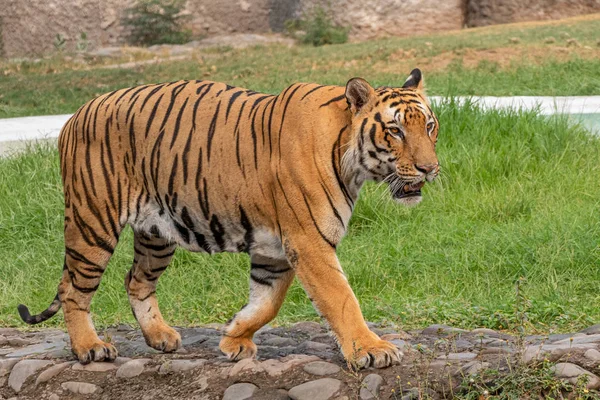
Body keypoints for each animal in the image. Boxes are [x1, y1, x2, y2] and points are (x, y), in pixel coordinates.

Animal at [18, 68, 438, 368]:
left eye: (430, 126)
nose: (429, 168)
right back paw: (89, 348)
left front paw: (234, 339)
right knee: (74, 289)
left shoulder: (275, 250)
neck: (347, 155)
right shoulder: (309, 242)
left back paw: (160, 337)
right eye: (395, 130)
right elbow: (341, 299)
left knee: (134, 279)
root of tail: (75, 114)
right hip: (93, 223)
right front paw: (371, 350)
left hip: (157, 232)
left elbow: (267, 302)